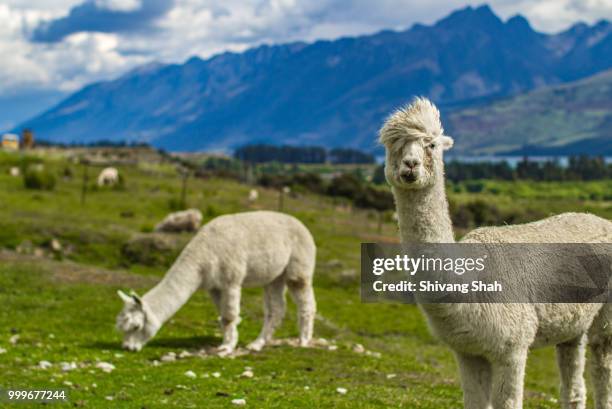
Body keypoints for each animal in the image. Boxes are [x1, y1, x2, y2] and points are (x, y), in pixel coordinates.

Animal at [116, 210, 316, 354]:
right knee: (276, 309)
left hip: (299, 265)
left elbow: (228, 316)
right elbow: (223, 316)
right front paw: (230, 341)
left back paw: (304, 340)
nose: (128, 348)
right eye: (121, 327)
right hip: (274, 276)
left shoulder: (231, 279)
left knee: (305, 300)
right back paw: (257, 344)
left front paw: (226, 347)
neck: (202, 258)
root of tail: (301, 224)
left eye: (136, 326)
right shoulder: (214, 286)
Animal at [378, 98, 612, 408]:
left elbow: (509, 402)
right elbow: (475, 402)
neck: (469, 281)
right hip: (572, 325)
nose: (410, 166)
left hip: (606, 317)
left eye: (431, 145)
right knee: (574, 386)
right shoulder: (468, 350)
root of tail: (599, 219)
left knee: (603, 368)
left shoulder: (512, 346)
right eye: (394, 145)